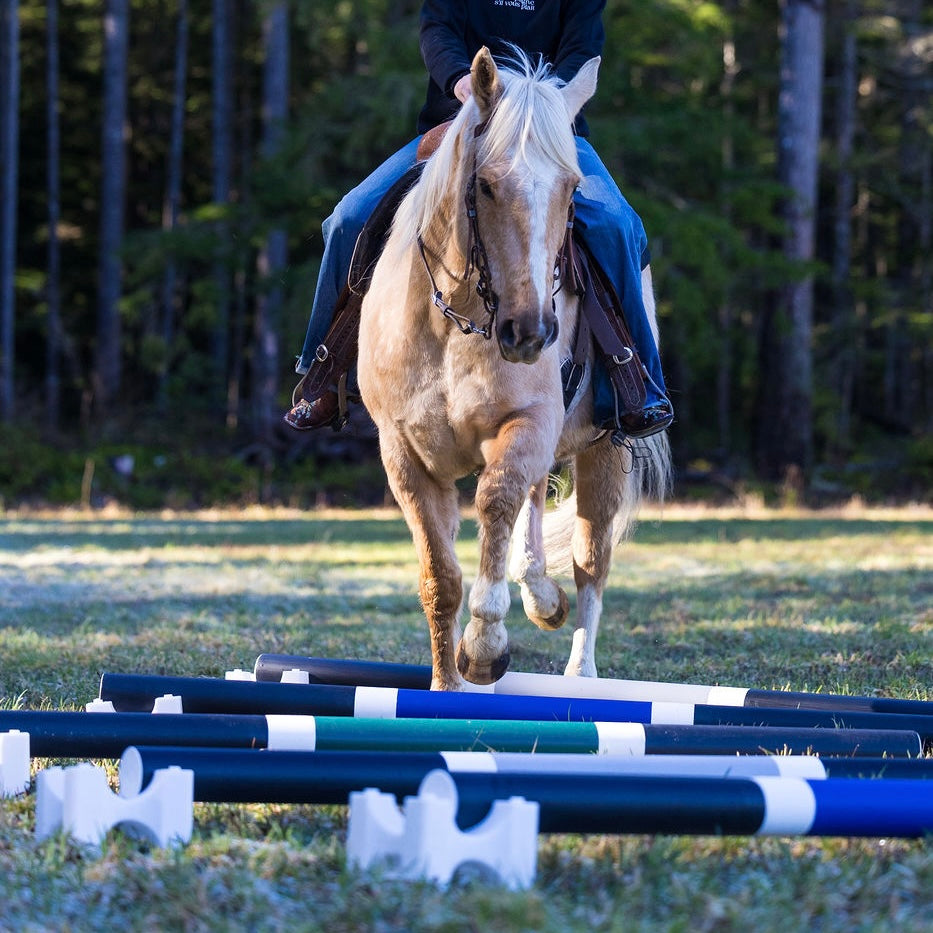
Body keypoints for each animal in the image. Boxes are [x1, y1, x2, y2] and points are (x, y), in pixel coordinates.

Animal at [358, 47, 671, 691]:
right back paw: (539, 595)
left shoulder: (526, 425)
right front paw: (446, 684)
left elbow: (496, 501)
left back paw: (579, 672)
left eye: (572, 188)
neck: (458, 323)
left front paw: (484, 646)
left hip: (604, 453)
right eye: (485, 184)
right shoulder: (404, 455)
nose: (530, 333)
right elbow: (441, 579)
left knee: (590, 564)